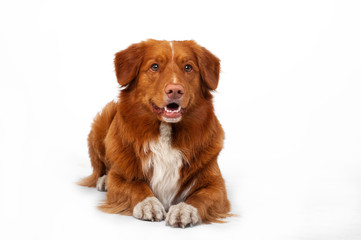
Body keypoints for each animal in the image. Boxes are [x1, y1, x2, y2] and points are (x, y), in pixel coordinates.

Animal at [78, 39, 231, 227]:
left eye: (188, 67)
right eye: (155, 66)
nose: (175, 90)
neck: (166, 131)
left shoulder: (216, 184)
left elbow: (201, 196)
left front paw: (185, 209)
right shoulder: (120, 178)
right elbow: (135, 185)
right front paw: (148, 203)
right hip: (102, 121)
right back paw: (104, 179)